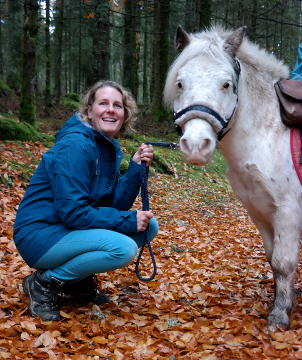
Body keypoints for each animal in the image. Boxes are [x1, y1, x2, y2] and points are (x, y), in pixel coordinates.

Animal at [164, 23, 302, 330]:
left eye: (226, 84)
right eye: (180, 83)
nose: (196, 145)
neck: (269, 134)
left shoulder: (288, 212)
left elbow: (284, 261)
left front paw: (279, 316)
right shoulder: (259, 211)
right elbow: (272, 257)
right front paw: (279, 301)